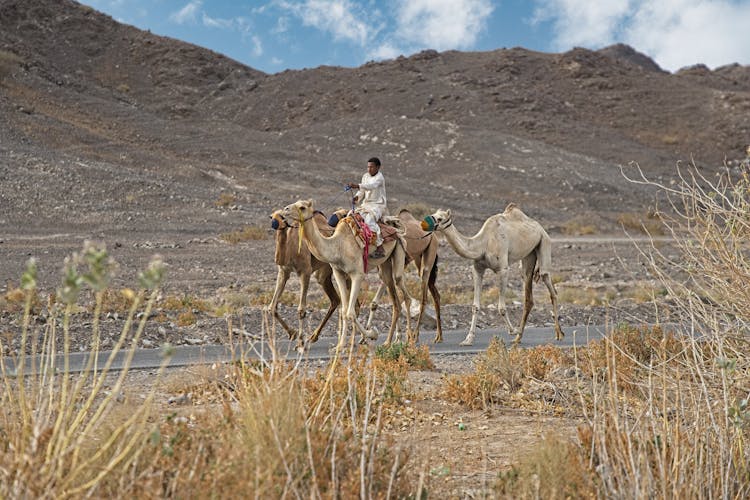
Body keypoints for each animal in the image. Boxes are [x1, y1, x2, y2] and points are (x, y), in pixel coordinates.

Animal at [268, 208, 340, 344]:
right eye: (272, 216)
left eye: (282, 217)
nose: (275, 224)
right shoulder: (283, 272)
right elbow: (272, 307)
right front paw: (292, 334)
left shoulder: (305, 272)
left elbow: (301, 310)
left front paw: (300, 341)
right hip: (323, 274)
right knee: (336, 299)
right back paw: (314, 336)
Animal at [282, 197, 412, 346]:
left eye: (302, 207)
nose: (285, 209)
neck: (338, 246)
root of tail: (395, 227)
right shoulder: (338, 273)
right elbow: (344, 311)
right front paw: (340, 345)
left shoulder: (357, 274)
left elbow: (351, 312)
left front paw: (372, 334)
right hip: (384, 264)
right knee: (395, 300)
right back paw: (390, 341)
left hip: (399, 249)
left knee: (403, 290)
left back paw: (409, 339)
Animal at [424, 201, 564, 346]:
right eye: (434, 214)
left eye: (440, 218)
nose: (424, 224)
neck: (483, 244)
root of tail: (540, 227)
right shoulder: (478, 269)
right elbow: (475, 306)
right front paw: (468, 339)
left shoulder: (503, 269)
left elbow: (501, 307)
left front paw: (512, 330)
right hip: (528, 256)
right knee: (528, 291)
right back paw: (518, 338)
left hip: (544, 242)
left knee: (549, 284)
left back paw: (558, 334)